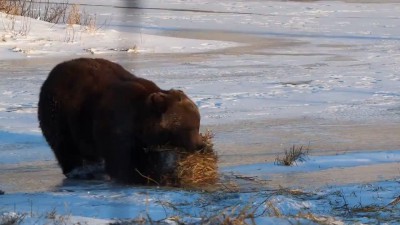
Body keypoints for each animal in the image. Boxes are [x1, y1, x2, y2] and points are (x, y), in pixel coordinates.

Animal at [38, 57, 205, 184]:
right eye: (188, 127)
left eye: (197, 124)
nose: (200, 145)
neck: (141, 123)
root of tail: (52, 73)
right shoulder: (116, 125)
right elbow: (120, 159)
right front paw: (131, 177)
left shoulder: (144, 140)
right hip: (60, 114)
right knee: (65, 146)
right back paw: (78, 171)